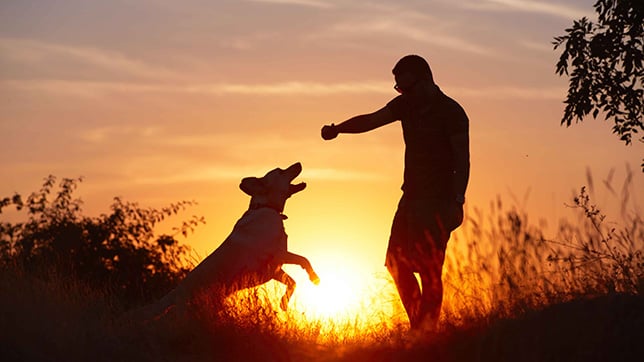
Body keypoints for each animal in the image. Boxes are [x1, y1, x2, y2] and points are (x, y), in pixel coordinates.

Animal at [140, 162, 320, 320]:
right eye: (280, 171)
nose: (299, 163)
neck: (266, 207)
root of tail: (176, 292)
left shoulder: (274, 269)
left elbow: (293, 282)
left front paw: (284, 302)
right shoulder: (277, 255)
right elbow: (303, 259)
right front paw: (314, 277)